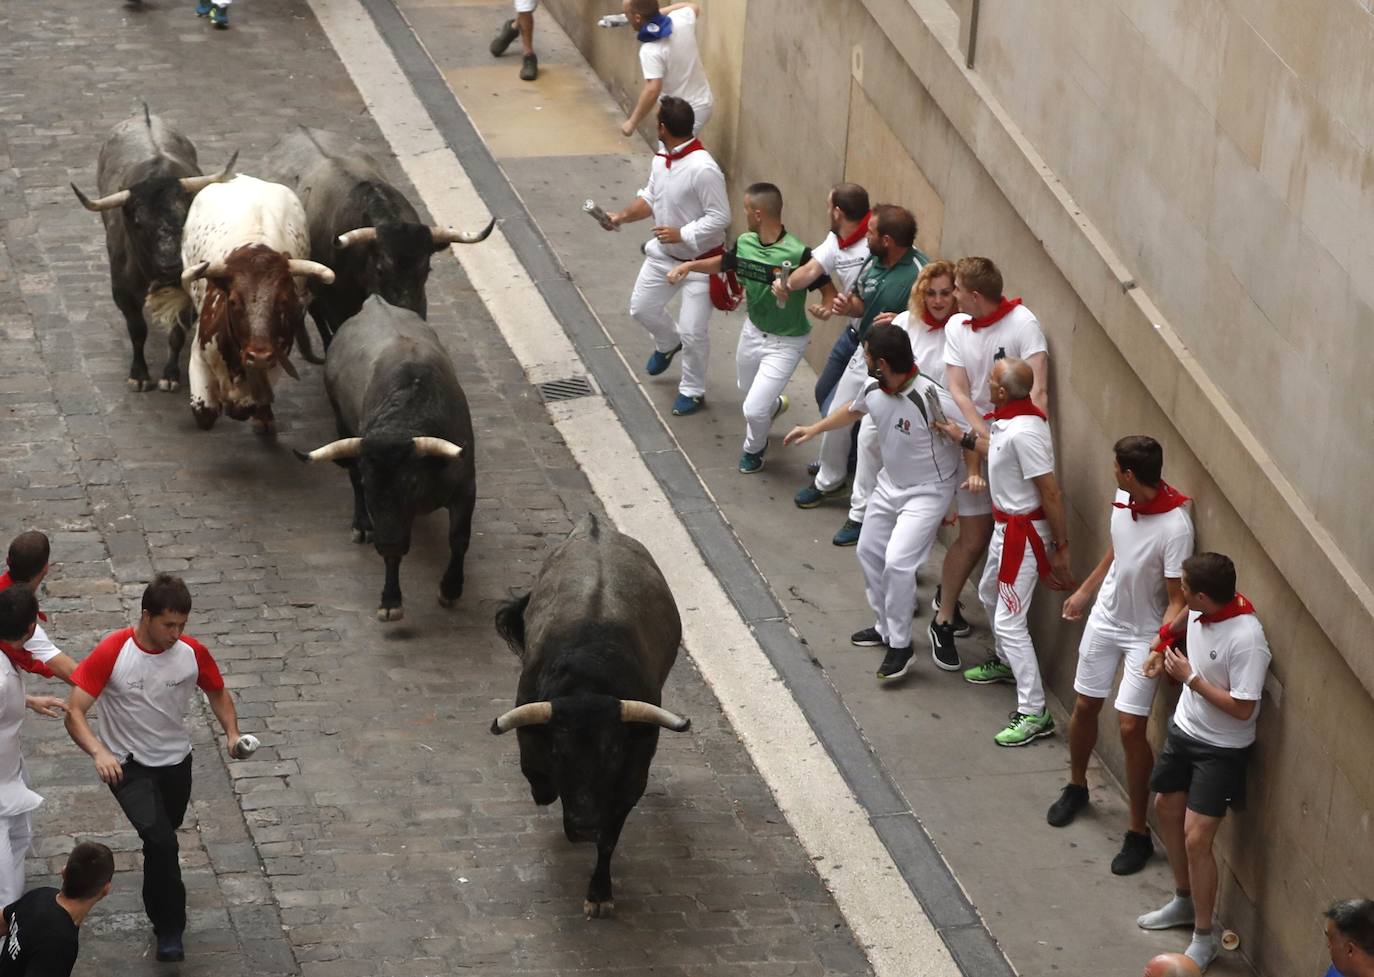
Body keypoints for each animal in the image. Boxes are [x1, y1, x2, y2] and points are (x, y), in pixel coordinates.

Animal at [73, 107, 236, 392]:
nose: (171, 263)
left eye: (185, 215)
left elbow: (177, 333)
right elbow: (138, 331)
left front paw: (170, 375)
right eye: (139, 222)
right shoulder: (122, 292)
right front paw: (138, 374)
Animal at [178, 175, 331, 436]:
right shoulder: (199, 355)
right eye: (233, 301)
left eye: (283, 301)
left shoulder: (277, 359)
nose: (258, 355)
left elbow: (249, 404)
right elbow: (205, 412)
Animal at [295, 294, 478, 623]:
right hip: (342, 424)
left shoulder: (465, 488)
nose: (388, 542)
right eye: (371, 487)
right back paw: (361, 525)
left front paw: (451, 588)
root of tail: (373, 302)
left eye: (412, 483)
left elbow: (459, 539)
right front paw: (391, 599)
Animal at [489, 516, 692, 923]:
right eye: (558, 753)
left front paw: (599, 893)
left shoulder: (631, 780)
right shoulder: (531, 745)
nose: (583, 827)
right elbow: (540, 782)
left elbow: (610, 838)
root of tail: (594, 525)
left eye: (613, 753)